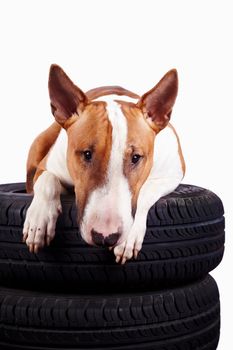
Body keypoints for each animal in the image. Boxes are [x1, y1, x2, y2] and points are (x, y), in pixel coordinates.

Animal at [22, 65, 186, 262]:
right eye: (87, 154)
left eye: (136, 157)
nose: (105, 236)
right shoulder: (46, 166)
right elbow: (48, 181)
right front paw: (39, 220)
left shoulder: (172, 174)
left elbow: (145, 191)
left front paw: (129, 238)